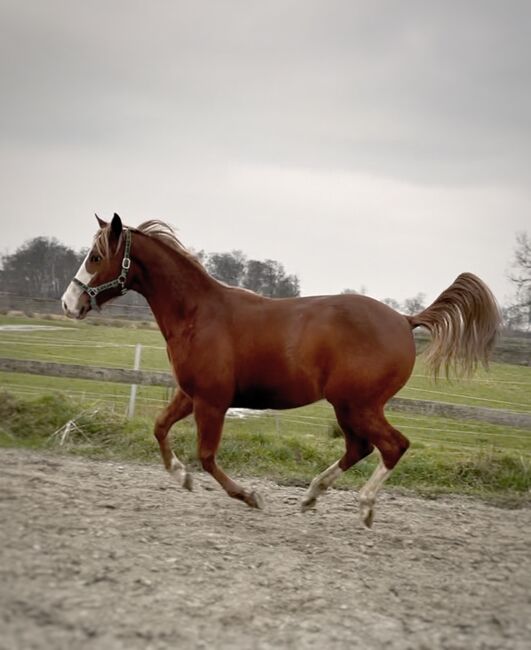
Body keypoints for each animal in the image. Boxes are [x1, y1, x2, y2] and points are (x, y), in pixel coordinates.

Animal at [62, 215, 502, 524]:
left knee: (393, 446)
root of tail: (405, 320)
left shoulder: (212, 401)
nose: (69, 303)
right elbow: (159, 428)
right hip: (348, 408)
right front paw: (180, 477)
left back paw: (363, 506)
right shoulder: (190, 394)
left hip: (358, 405)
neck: (198, 314)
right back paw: (311, 496)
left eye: (96, 257)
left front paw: (249, 496)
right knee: (359, 448)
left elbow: (207, 456)